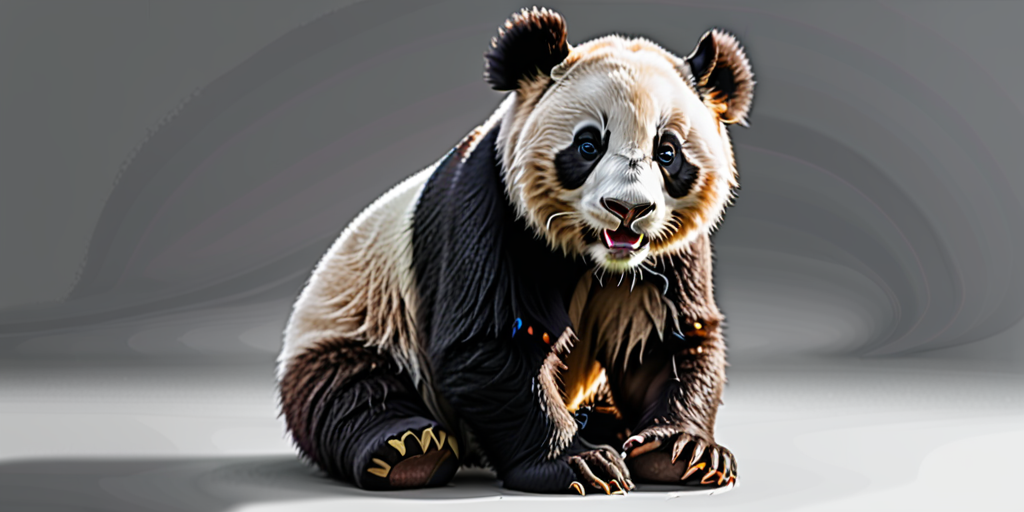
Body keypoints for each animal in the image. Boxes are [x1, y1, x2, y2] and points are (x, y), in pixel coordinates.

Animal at [276, 7, 754, 495]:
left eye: (668, 152)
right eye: (588, 145)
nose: (628, 209)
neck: (594, 255)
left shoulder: (665, 254)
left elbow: (660, 340)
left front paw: (680, 452)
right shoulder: (494, 209)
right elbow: (495, 343)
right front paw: (581, 463)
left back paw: (607, 424)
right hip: (358, 317)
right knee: (349, 389)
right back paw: (410, 451)